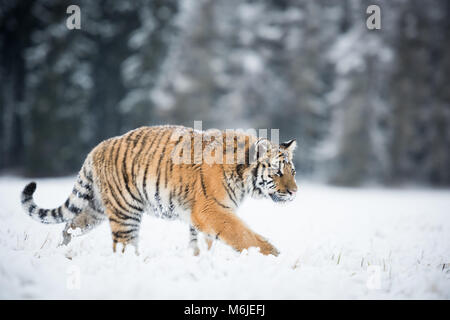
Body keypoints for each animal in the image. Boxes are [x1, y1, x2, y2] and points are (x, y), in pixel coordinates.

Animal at [20, 125, 298, 255]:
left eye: (292, 171)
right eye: (277, 172)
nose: (295, 192)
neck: (242, 177)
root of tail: (98, 147)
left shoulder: (203, 216)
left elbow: (204, 243)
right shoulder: (210, 210)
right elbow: (243, 235)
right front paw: (275, 255)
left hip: (96, 209)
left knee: (70, 225)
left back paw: (61, 250)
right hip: (125, 212)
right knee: (123, 246)